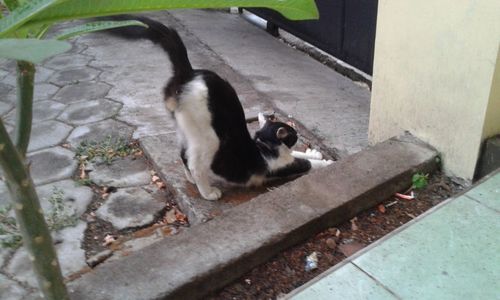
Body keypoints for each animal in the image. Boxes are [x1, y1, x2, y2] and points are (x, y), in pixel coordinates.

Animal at [105, 15, 332, 199]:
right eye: (293, 134)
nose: (296, 135)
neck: (266, 147)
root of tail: (189, 72)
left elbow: (301, 155)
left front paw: (314, 153)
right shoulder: (280, 167)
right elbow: (305, 164)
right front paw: (324, 163)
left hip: (185, 130)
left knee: (183, 154)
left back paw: (191, 179)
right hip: (209, 137)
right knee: (195, 163)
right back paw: (207, 192)